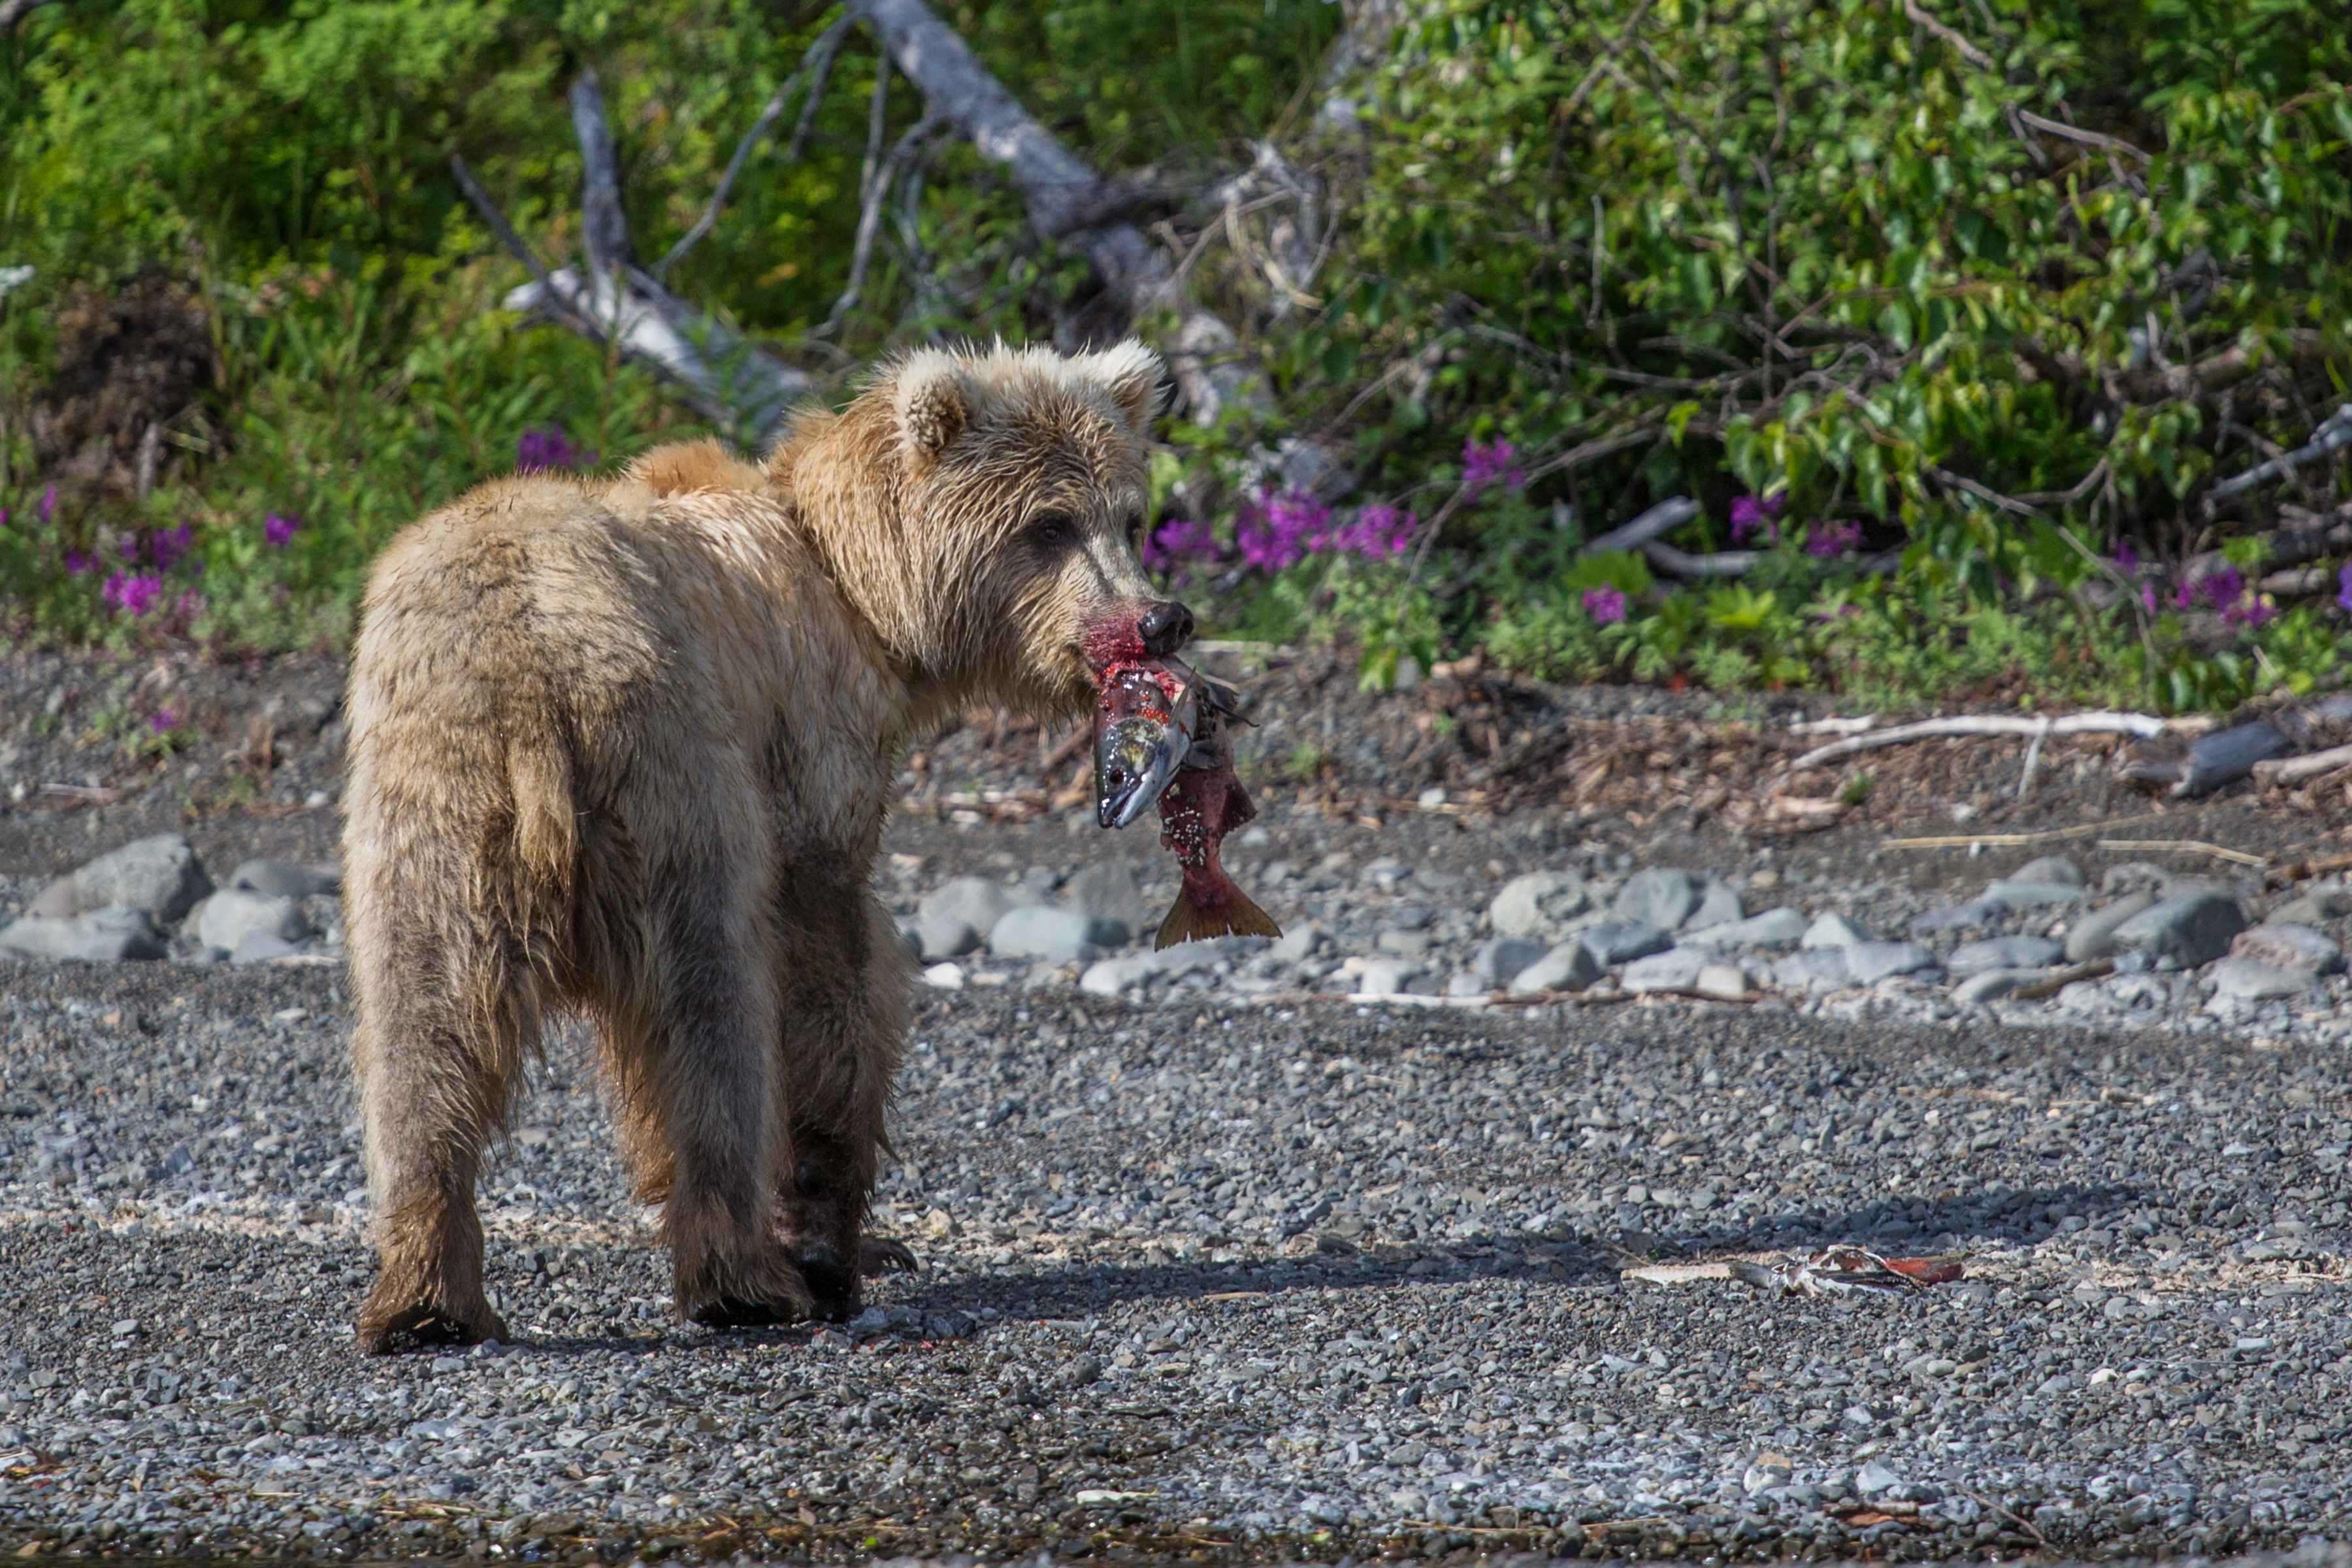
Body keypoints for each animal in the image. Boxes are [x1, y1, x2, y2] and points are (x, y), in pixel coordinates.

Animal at [341, 339, 1196, 1353]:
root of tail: (533, 668)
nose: (1159, 619)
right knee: (710, 1003)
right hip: (674, 772)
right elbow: (832, 972)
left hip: (432, 787)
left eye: (1131, 517)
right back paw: (743, 1278)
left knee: (422, 1025)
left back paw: (426, 1296)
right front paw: (841, 1240)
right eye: (1051, 524)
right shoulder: (808, 740)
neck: (863, 598)